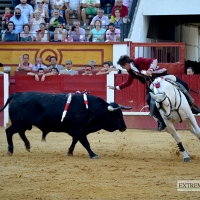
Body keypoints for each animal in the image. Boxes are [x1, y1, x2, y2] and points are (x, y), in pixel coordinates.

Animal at [0, 91, 131, 159]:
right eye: (116, 115)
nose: (124, 127)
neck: (91, 109)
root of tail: (18, 94)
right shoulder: (79, 130)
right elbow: (86, 143)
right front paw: (93, 155)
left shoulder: (78, 131)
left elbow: (75, 141)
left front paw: (70, 152)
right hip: (19, 123)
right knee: (9, 131)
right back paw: (10, 150)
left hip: (23, 123)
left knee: (20, 133)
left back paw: (27, 146)